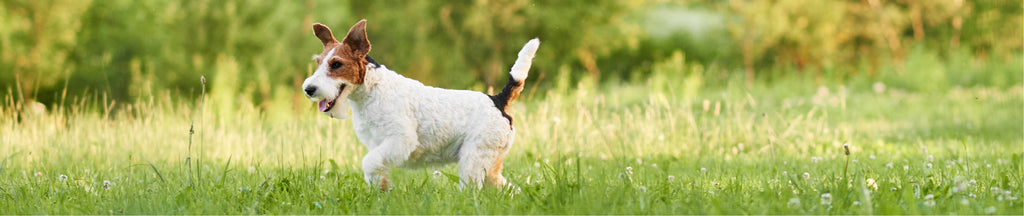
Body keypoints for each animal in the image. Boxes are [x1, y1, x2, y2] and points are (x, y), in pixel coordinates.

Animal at [299, 19, 540, 189]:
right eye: (318, 62)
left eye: (336, 64)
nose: (308, 89)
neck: (370, 90)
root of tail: (497, 100)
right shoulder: (378, 145)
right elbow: (375, 168)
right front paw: (382, 191)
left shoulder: (400, 140)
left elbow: (368, 163)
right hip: (490, 165)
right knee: (508, 188)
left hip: (474, 158)